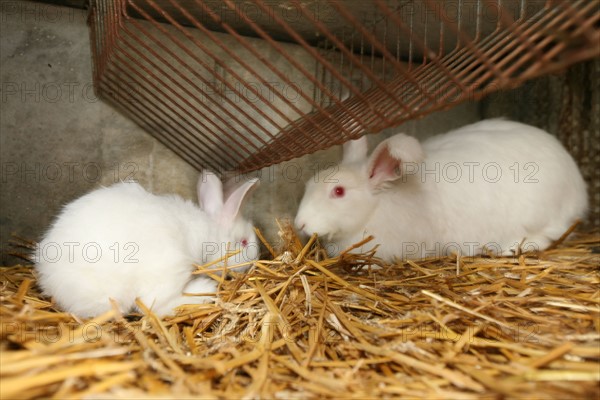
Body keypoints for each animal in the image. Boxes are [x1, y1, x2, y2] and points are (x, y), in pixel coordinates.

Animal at [35, 172, 258, 318]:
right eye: (244, 242)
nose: (256, 260)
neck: (209, 231)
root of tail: (52, 283)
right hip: (171, 265)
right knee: (154, 304)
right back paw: (204, 289)